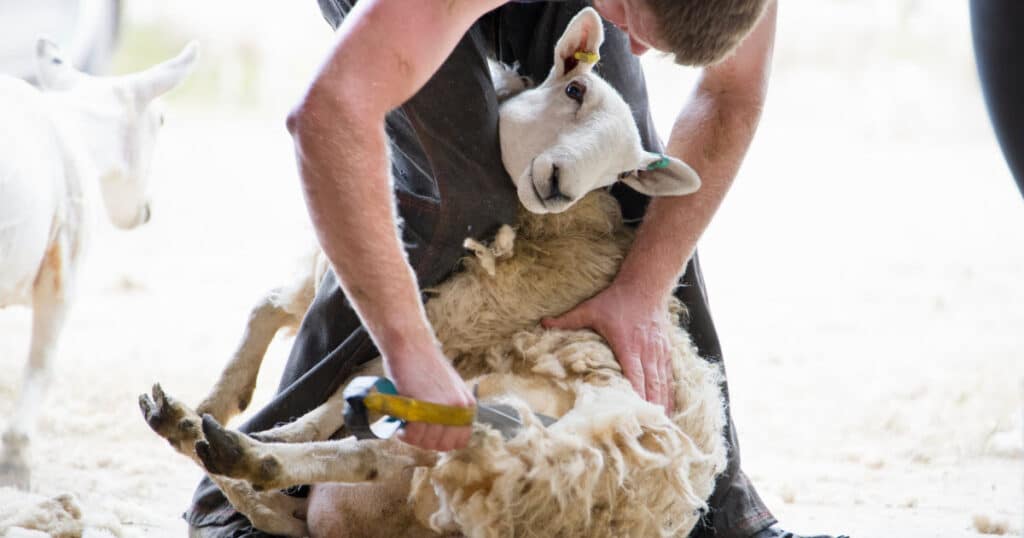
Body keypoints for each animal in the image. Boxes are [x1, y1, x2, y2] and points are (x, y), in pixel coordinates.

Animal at [142, 9, 729, 536]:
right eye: (574, 89)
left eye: (622, 174)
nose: (559, 184)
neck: (556, 230)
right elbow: (271, 310)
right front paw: (220, 398)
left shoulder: (445, 324)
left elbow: (321, 375)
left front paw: (236, 417)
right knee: (352, 466)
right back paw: (213, 440)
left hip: (505, 423)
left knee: (375, 449)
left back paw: (240, 451)